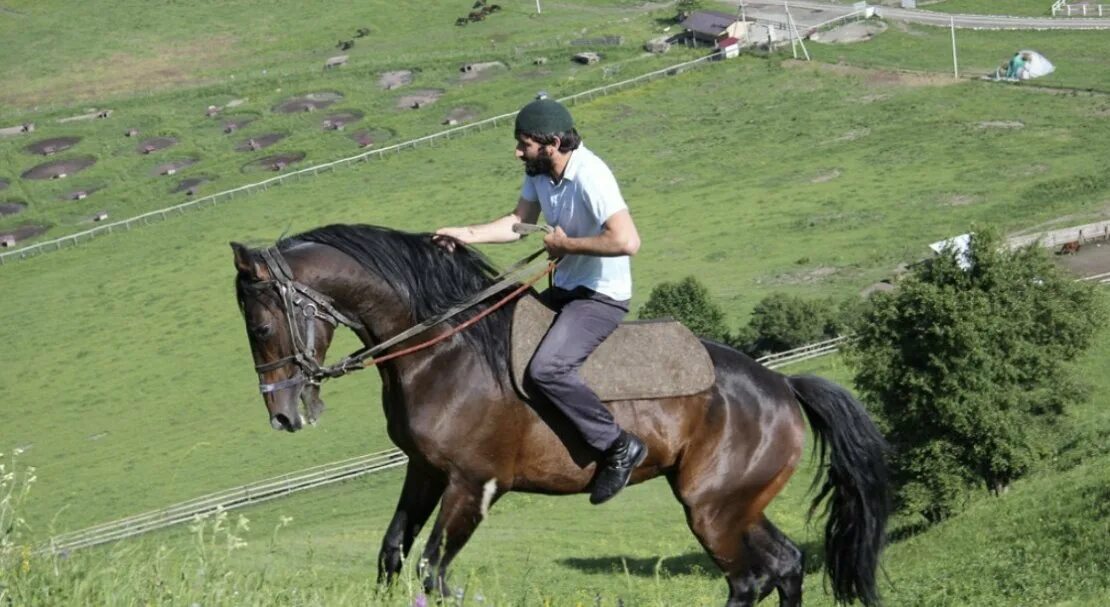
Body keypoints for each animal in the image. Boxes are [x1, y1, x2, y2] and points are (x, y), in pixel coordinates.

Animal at [229, 224, 888, 607]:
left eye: (259, 327)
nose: (284, 415)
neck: (445, 349)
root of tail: (782, 384)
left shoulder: (473, 485)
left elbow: (433, 572)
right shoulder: (425, 472)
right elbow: (394, 557)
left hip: (713, 510)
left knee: (750, 579)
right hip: (738, 505)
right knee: (787, 564)